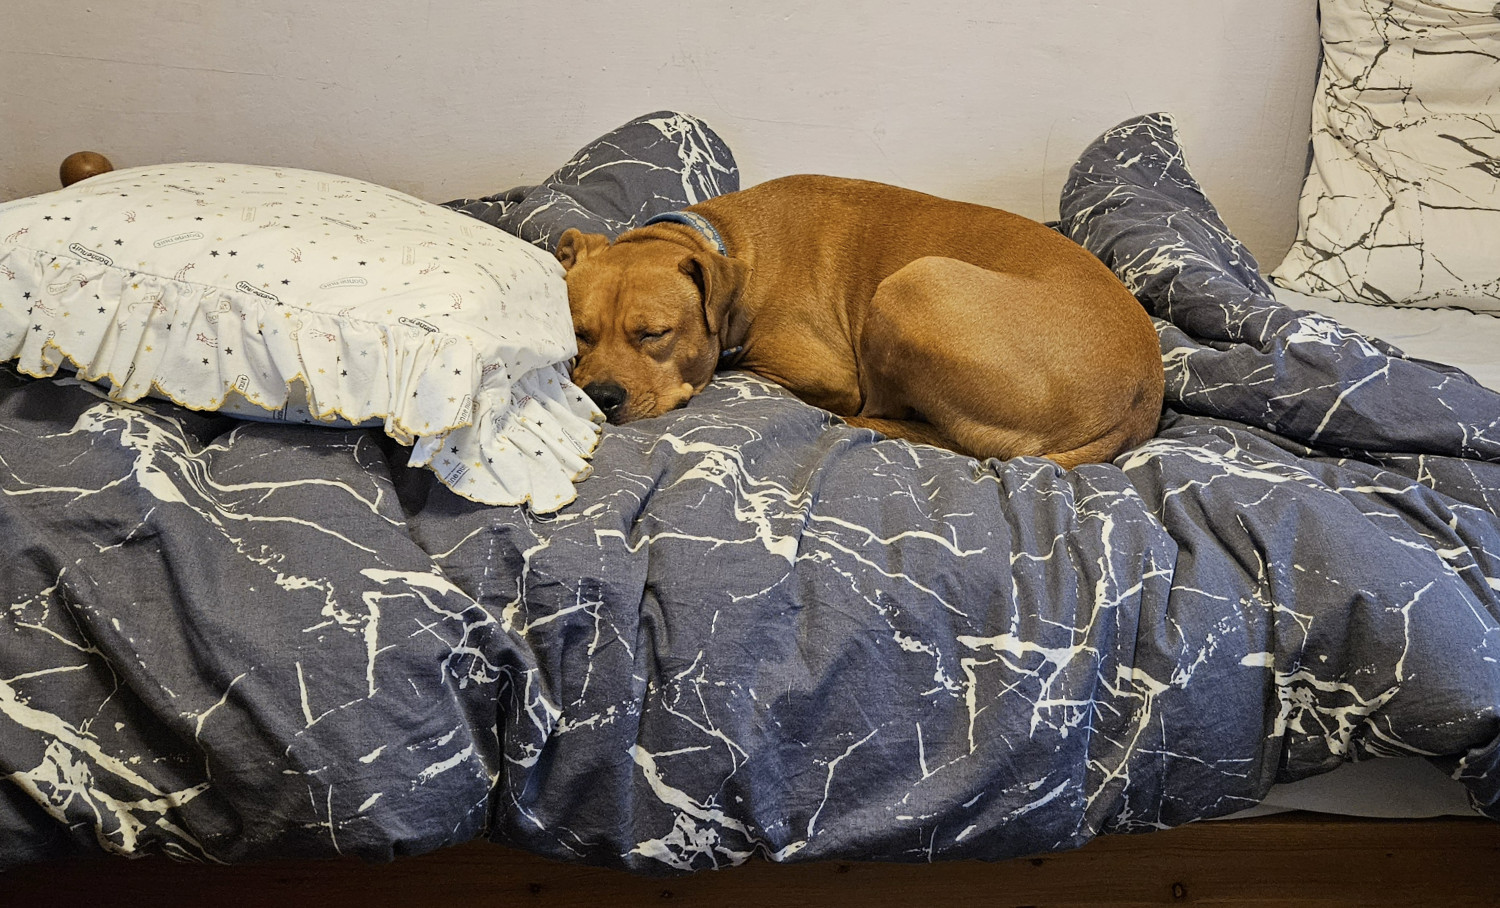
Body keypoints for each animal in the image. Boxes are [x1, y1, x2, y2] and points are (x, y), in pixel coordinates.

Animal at [558, 174, 1164, 468]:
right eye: (579, 336)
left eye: (654, 335)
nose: (602, 396)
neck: (722, 240)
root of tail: (1142, 399)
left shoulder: (826, 374)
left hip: (910, 287)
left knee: (892, 417)